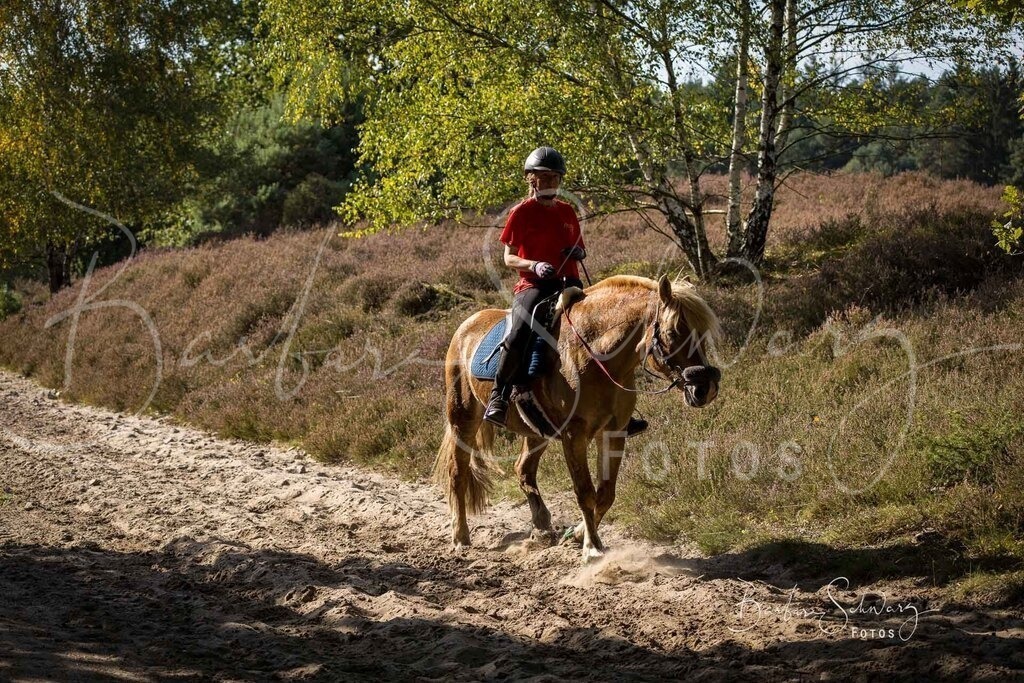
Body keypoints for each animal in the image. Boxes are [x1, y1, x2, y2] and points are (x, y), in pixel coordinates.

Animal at [433, 274, 722, 562]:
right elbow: (585, 492)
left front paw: (578, 534)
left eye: (702, 333)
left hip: (535, 431)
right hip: (463, 419)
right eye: (673, 332)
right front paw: (592, 547)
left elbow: (605, 494)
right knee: (458, 472)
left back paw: (541, 526)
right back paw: (460, 537)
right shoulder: (574, 436)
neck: (596, 355)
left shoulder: (614, 433)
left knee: (523, 469)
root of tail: (466, 326)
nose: (704, 389)